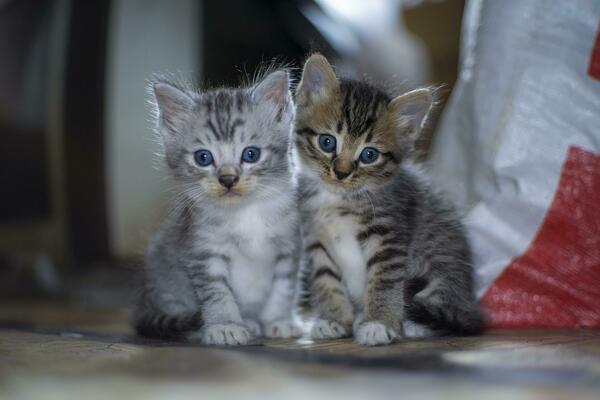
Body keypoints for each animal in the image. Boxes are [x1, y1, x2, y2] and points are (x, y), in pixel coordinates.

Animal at [132, 69, 298, 344]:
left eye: (251, 154)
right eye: (203, 157)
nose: (228, 179)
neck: (245, 212)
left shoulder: (290, 247)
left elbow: (284, 288)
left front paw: (277, 320)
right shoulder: (203, 251)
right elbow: (217, 293)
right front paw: (225, 325)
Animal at [296, 54, 482, 346]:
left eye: (369, 155)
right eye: (327, 142)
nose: (341, 173)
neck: (338, 200)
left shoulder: (389, 233)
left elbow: (383, 280)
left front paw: (379, 323)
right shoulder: (315, 239)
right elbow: (326, 280)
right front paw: (334, 319)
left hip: (443, 260)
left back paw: (416, 324)